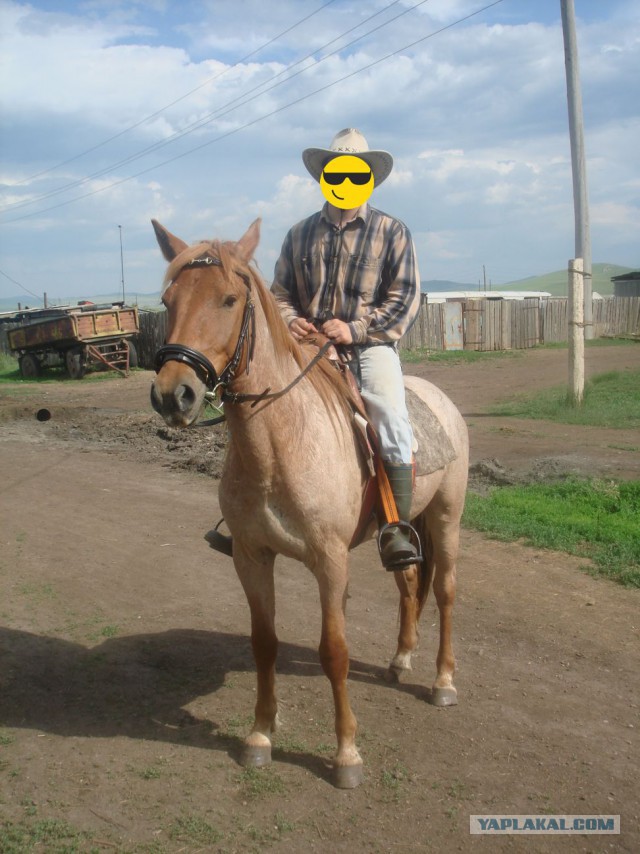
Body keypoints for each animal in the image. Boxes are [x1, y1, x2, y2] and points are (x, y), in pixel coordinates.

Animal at [150, 218, 469, 788]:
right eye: (168, 300)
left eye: (230, 299)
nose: (173, 395)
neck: (281, 443)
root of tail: (439, 399)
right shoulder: (251, 557)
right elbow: (264, 642)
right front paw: (259, 735)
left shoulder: (330, 561)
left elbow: (334, 651)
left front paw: (346, 755)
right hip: (406, 528)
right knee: (411, 581)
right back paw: (401, 659)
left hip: (447, 517)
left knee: (446, 591)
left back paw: (442, 683)